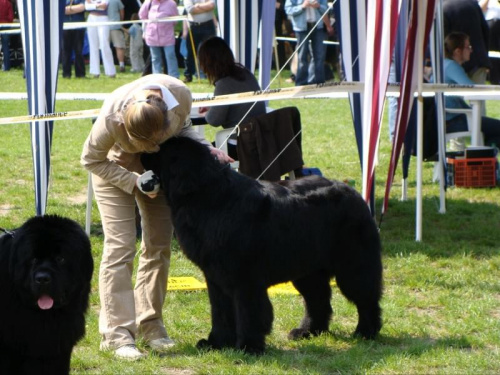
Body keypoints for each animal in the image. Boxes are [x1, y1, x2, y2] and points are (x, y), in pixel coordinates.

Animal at [141, 137, 382, 354]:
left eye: (159, 150)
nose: (143, 153)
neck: (208, 197)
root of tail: (354, 194)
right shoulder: (216, 277)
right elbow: (220, 311)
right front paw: (216, 343)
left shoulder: (245, 278)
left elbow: (250, 312)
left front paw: (248, 347)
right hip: (307, 270)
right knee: (318, 299)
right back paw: (307, 331)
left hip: (353, 265)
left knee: (366, 297)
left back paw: (365, 332)